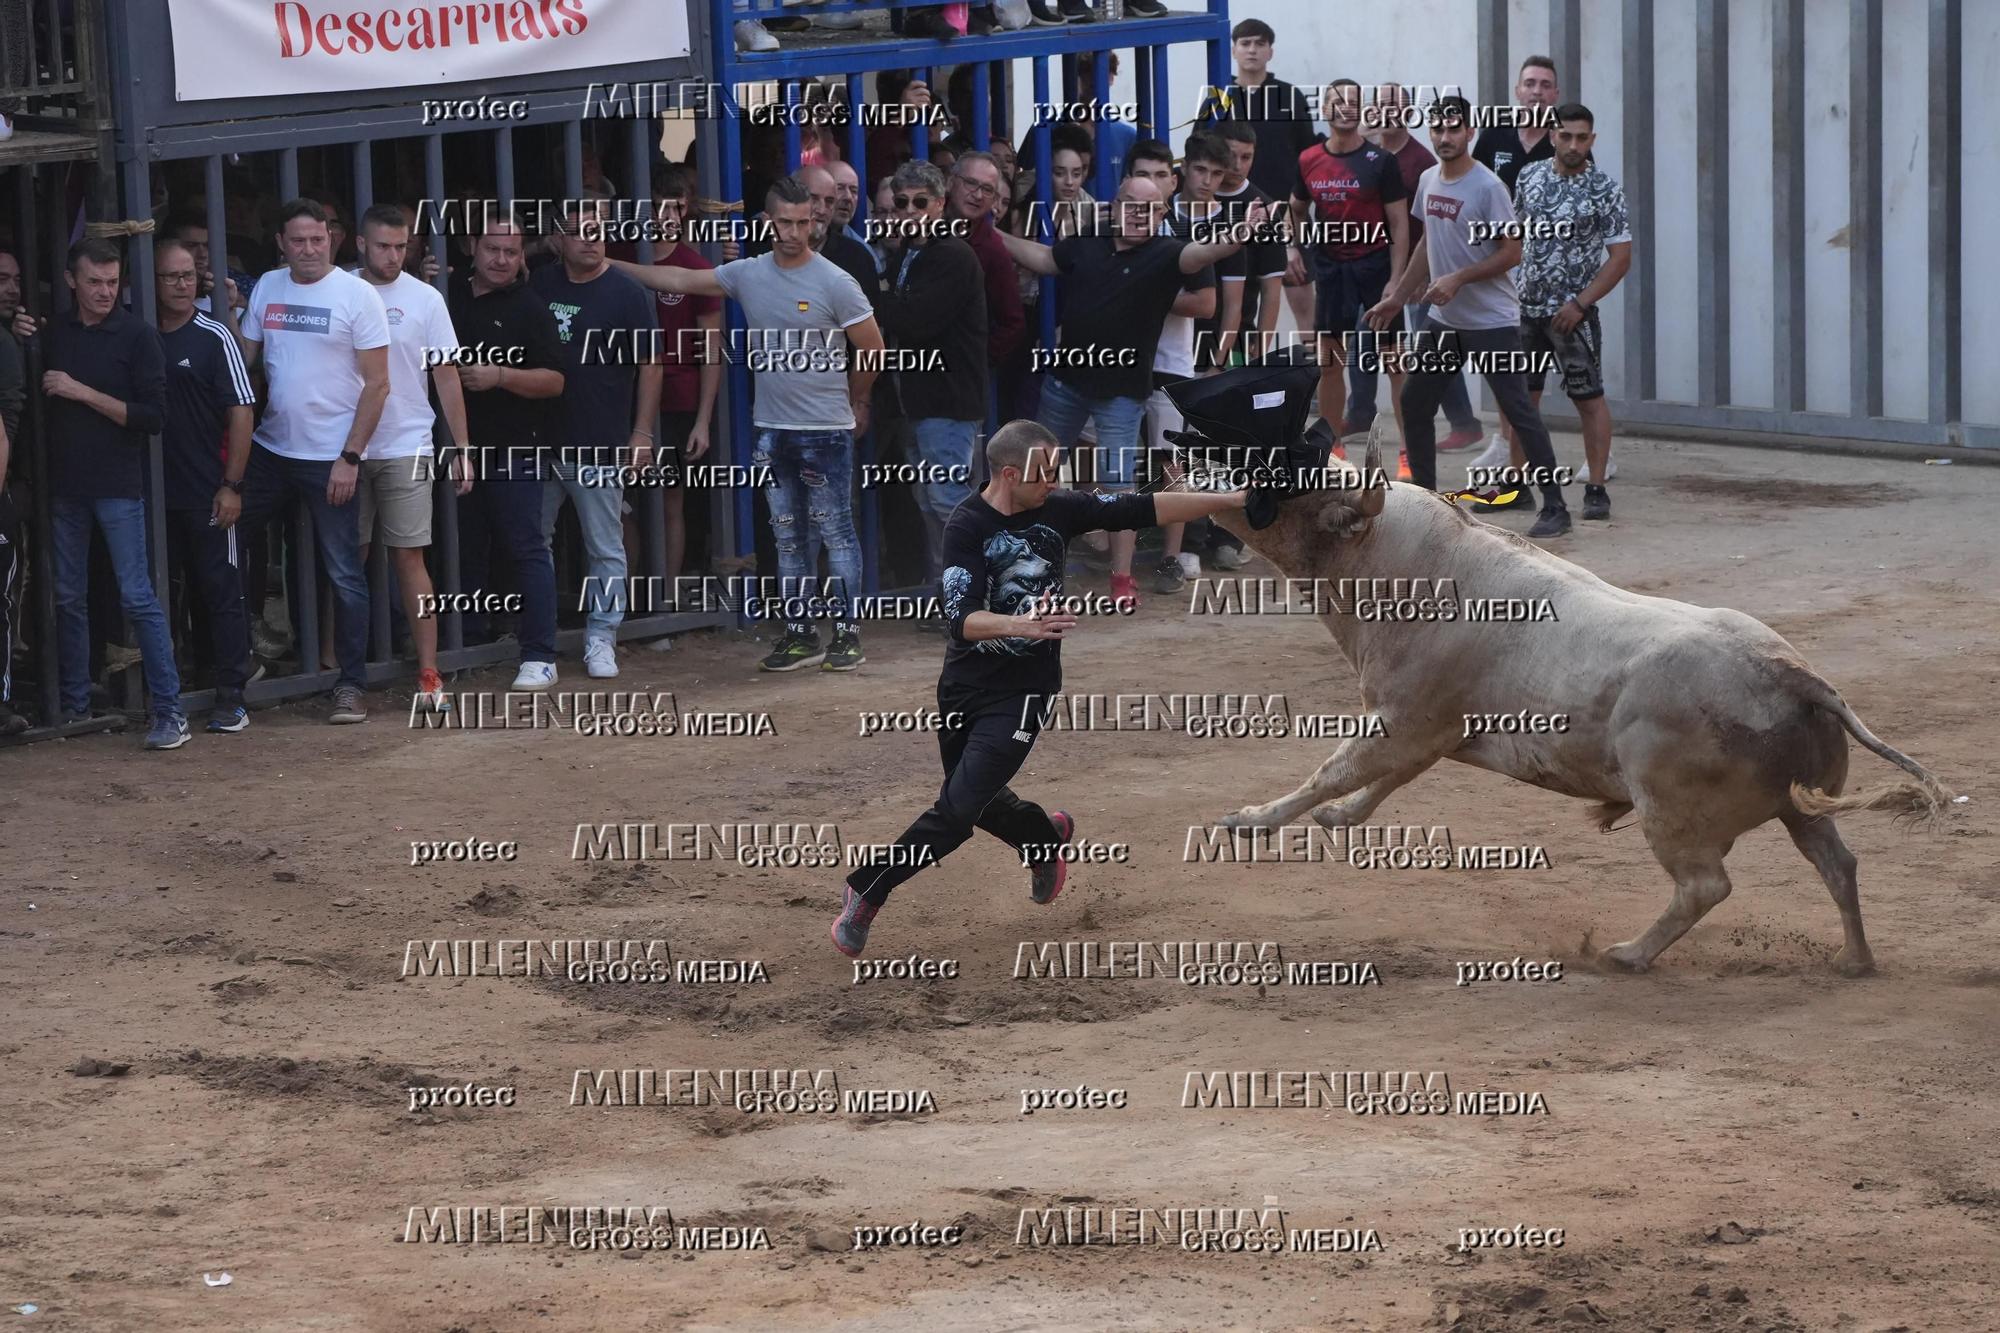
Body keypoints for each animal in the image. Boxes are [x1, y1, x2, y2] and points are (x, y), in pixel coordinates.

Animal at [1184, 430, 1952, 972]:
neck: (1405, 566)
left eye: (1283, 488)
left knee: (1705, 886)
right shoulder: (1428, 730)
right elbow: (1383, 779)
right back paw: (1854, 959)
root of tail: (1793, 673)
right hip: (1800, 805)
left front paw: (1248, 821)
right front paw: (1337, 818)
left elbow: (1335, 769)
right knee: (1836, 861)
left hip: (1669, 810)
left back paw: (1627, 954)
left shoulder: (1408, 718)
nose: (1188, 471)